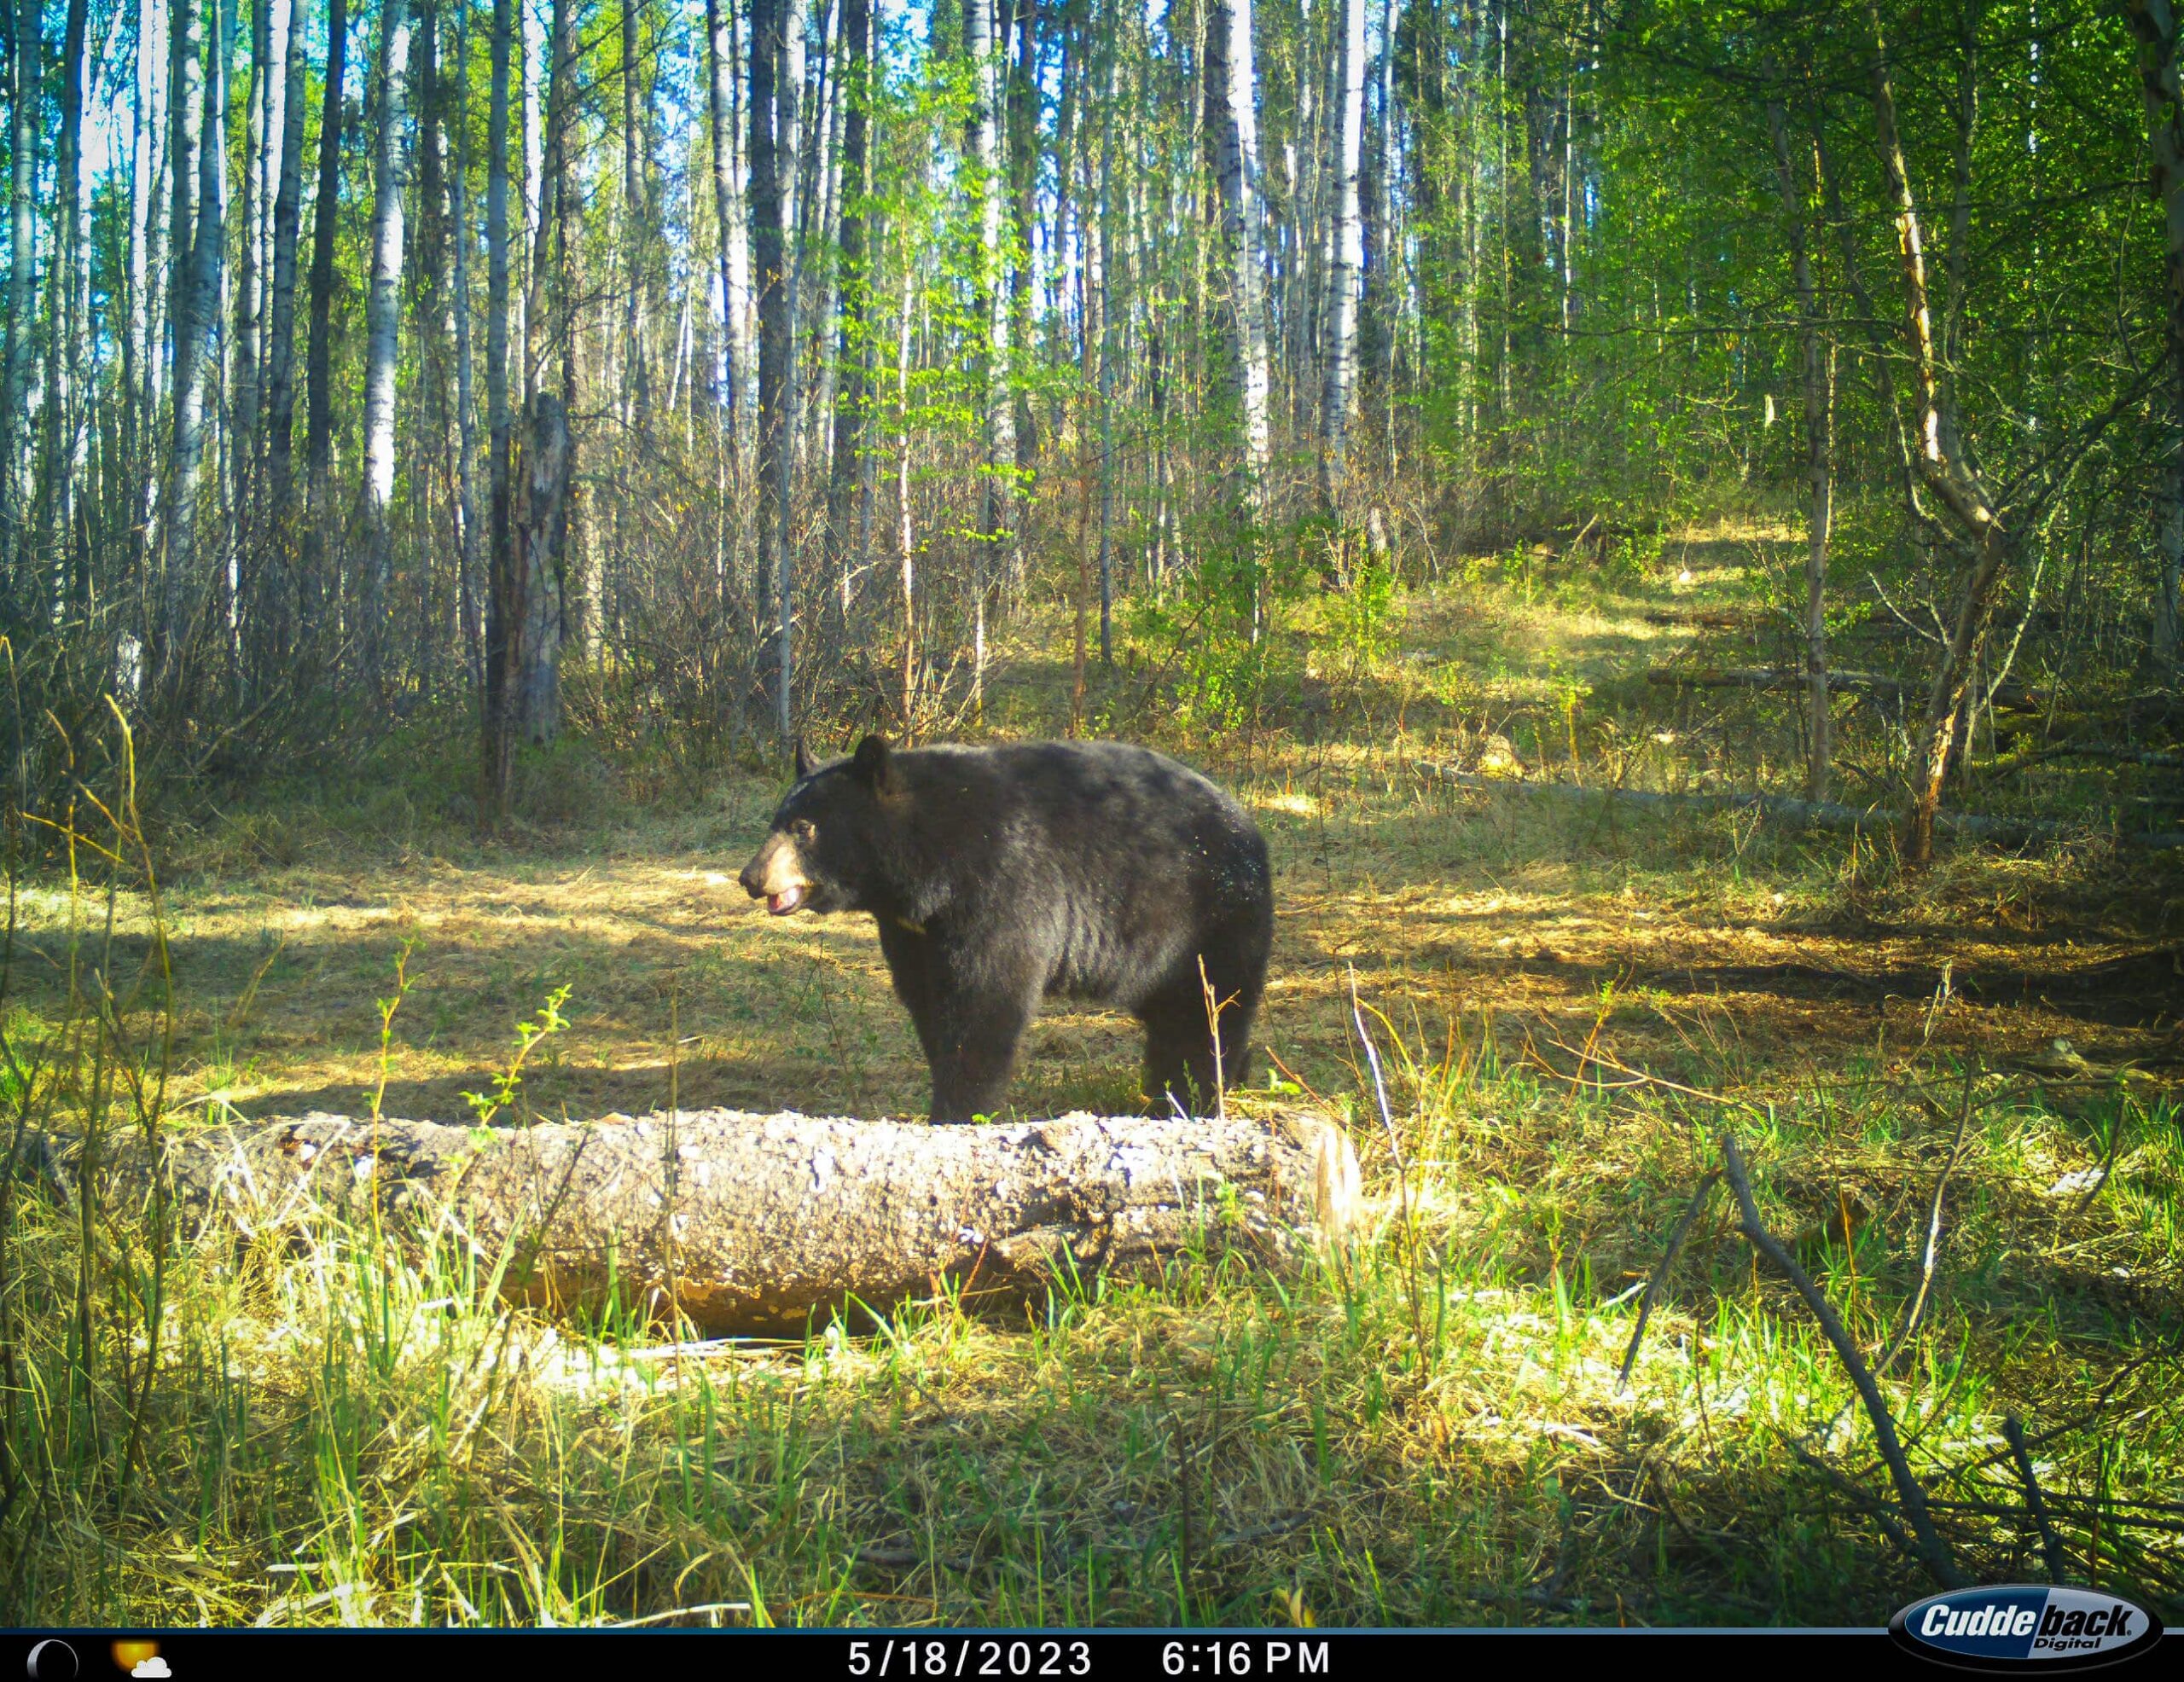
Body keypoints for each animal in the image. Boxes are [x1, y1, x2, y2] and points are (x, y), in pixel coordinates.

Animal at [742, 734, 1275, 1114]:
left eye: (805, 828)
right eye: (776, 821)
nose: (751, 877)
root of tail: (1249, 826)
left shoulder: (1002, 883)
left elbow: (988, 997)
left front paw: (960, 1109)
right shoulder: (914, 932)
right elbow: (928, 1000)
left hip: (1208, 913)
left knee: (1207, 1009)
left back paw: (1195, 1095)